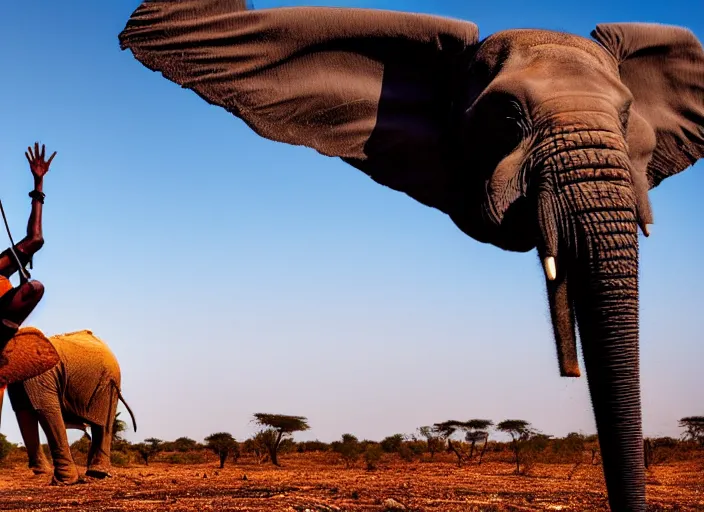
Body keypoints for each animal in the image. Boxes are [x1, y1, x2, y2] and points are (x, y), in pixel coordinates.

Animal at [0, 328, 137, 484]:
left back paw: (97, 473)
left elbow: (44, 409)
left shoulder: (40, 376)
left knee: (104, 425)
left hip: (109, 385)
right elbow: (24, 412)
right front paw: (43, 474)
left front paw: (64, 481)